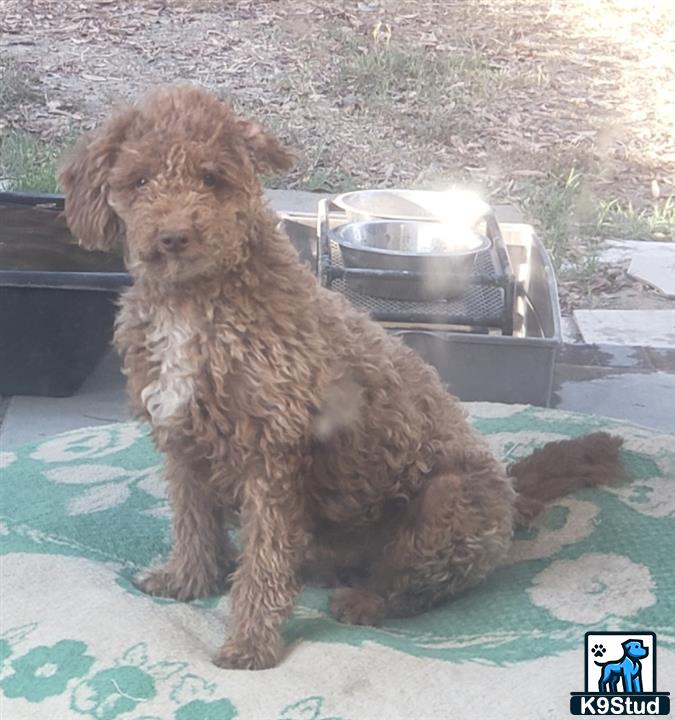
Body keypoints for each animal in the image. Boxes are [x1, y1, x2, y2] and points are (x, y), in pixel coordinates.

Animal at [60, 87, 624, 672]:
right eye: (140, 180)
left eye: (212, 177)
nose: (173, 236)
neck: (196, 304)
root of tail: (512, 492)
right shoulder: (183, 441)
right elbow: (193, 523)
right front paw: (189, 581)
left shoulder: (271, 458)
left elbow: (263, 564)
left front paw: (251, 644)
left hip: (447, 498)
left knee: (415, 585)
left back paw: (364, 600)